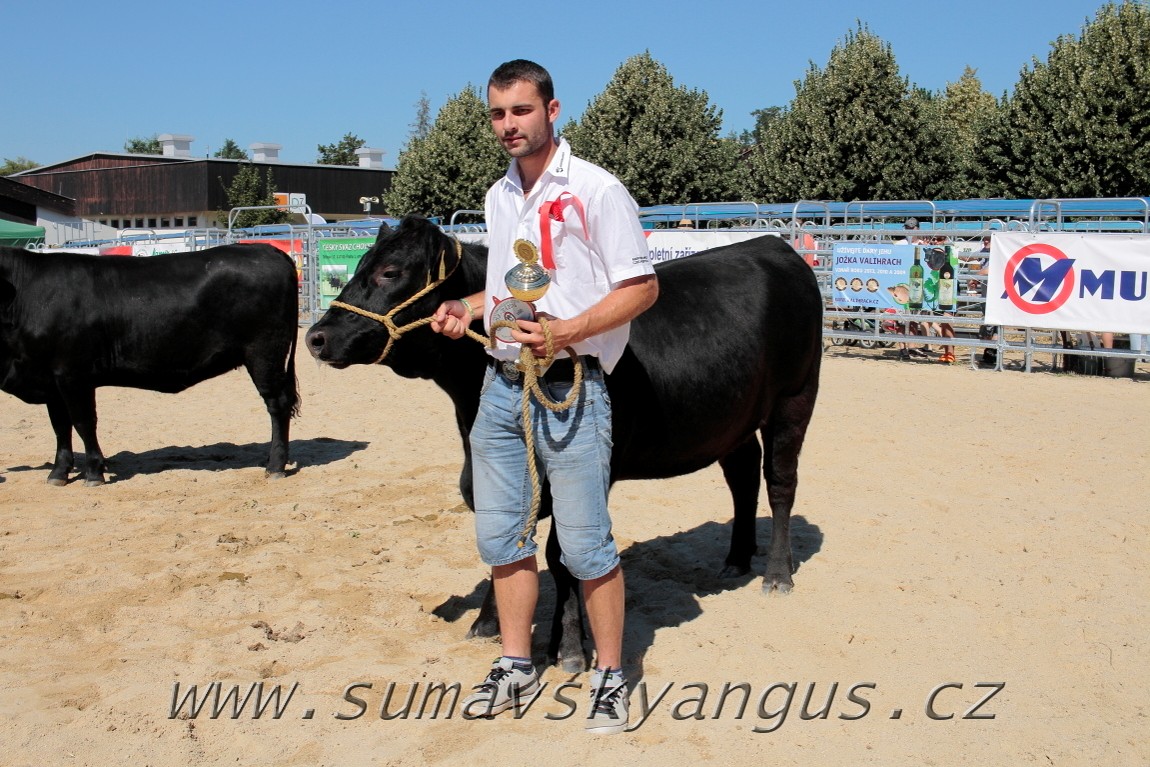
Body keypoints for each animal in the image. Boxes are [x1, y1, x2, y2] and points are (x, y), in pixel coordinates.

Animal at [0, 244, 301, 485]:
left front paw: (94, 472)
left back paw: (275, 466)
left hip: (265, 354)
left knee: (277, 405)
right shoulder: (50, 380)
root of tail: (268, 250)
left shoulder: (73, 374)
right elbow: (60, 426)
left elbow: (84, 423)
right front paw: (59, 473)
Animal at [305, 217, 823, 671]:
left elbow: (562, 557)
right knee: (743, 477)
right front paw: (488, 623)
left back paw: (777, 574)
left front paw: (568, 645)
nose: (316, 336)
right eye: (358, 265)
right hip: (733, 417)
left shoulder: (592, 472)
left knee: (780, 483)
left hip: (795, 397)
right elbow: (502, 539)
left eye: (390, 272)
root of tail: (772, 246)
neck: (467, 403)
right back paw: (736, 560)